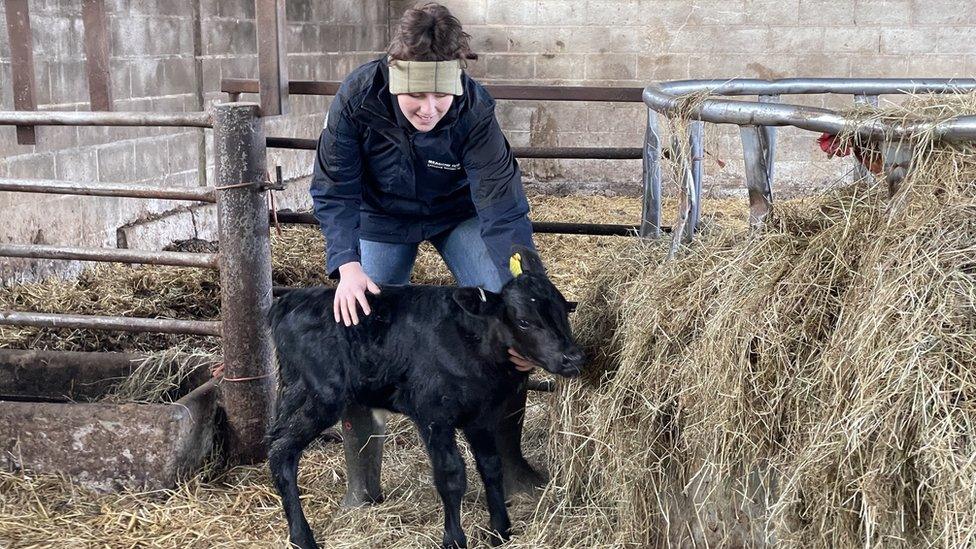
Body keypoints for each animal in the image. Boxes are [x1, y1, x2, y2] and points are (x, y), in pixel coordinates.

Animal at [266, 249, 584, 548]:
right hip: (318, 396)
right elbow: (451, 475)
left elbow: (491, 468)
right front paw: (454, 539)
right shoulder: (433, 415)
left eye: (564, 310)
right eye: (524, 321)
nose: (572, 357)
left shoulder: (480, 416)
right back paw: (301, 537)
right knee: (281, 451)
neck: (470, 344)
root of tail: (291, 300)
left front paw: (501, 531)